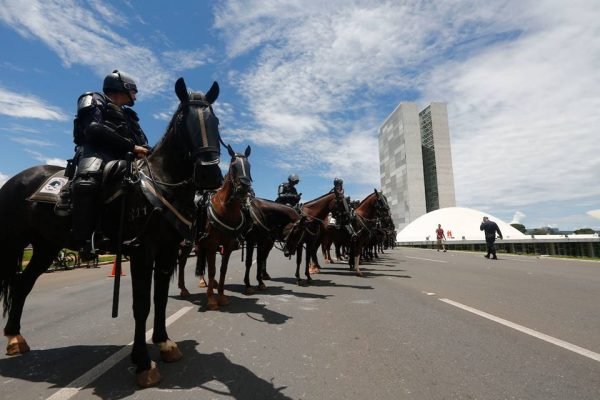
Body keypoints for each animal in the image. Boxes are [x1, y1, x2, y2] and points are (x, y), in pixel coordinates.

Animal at [0, 76, 223, 386]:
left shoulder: (166, 252)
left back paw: (15, 337)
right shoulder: (142, 251)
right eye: (182, 120)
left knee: (22, 284)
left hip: (46, 246)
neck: (160, 182)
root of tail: (15, 180)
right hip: (11, 242)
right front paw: (143, 363)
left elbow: (160, 298)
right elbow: (142, 304)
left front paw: (164, 343)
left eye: (216, 121)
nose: (210, 174)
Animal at [196, 145, 252, 310]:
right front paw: (211, 299)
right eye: (234, 166)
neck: (225, 209)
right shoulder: (211, 245)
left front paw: (221, 296)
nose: (244, 189)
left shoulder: (227, 246)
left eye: (249, 166)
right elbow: (212, 270)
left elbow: (222, 270)